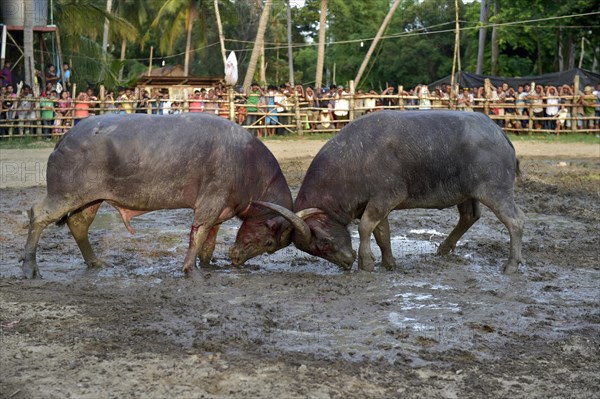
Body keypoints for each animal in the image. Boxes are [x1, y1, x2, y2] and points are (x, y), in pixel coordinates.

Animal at [22, 112, 292, 278]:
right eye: (269, 243)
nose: (236, 260)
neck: (247, 163)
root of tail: (65, 137)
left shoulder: (220, 211)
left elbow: (209, 242)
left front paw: (208, 264)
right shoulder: (210, 202)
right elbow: (198, 233)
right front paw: (190, 268)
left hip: (90, 199)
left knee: (78, 224)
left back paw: (95, 262)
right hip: (67, 194)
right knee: (38, 214)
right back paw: (29, 268)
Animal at [258, 110, 524, 276]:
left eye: (322, 243)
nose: (346, 261)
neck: (354, 160)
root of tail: (499, 133)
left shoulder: (386, 197)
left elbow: (365, 228)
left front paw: (366, 263)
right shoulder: (376, 204)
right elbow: (382, 234)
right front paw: (388, 263)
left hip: (495, 190)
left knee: (514, 221)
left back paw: (511, 265)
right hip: (466, 193)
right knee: (470, 216)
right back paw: (444, 248)